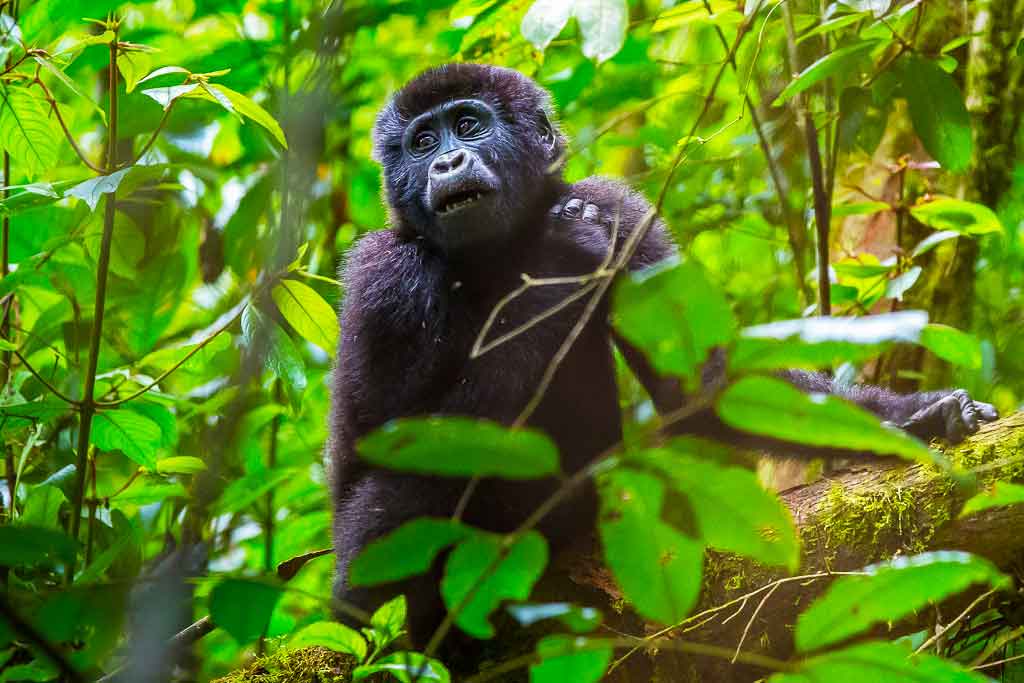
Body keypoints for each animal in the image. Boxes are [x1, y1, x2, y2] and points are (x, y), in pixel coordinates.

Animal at [329, 62, 999, 647]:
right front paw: (562, 257)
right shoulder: (384, 274)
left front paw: (917, 416)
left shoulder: (621, 211)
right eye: (422, 142)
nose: (446, 160)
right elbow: (394, 435)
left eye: (468, 125)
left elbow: (703, 385)